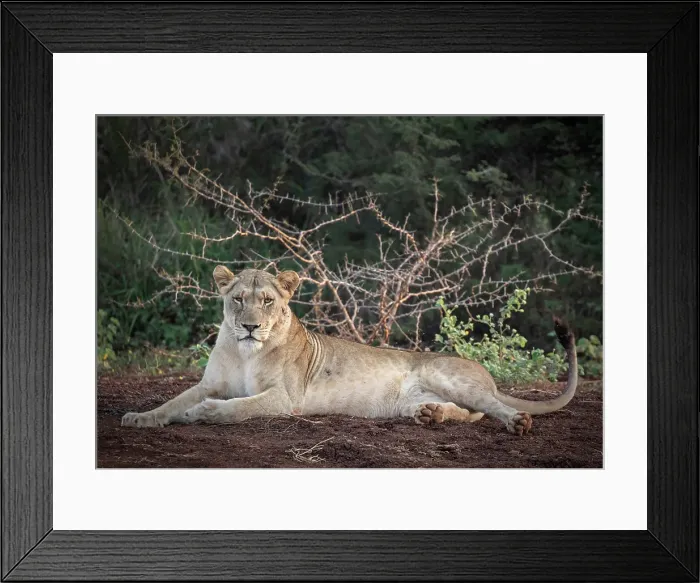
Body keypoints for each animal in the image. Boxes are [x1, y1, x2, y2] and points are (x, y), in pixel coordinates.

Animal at [121, 266, 578, 435]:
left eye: (267, 301)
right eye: (238, 300)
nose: (250, 326)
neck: (246, 351)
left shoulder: (287, 399)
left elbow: (237, 408)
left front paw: (203, 414)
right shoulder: (209, 382)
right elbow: (172, 400)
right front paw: (140, 417)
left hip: (444, 374)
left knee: (489, 407)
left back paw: (516, 421)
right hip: (414, 398)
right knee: (466, 412)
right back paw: (430, 415)